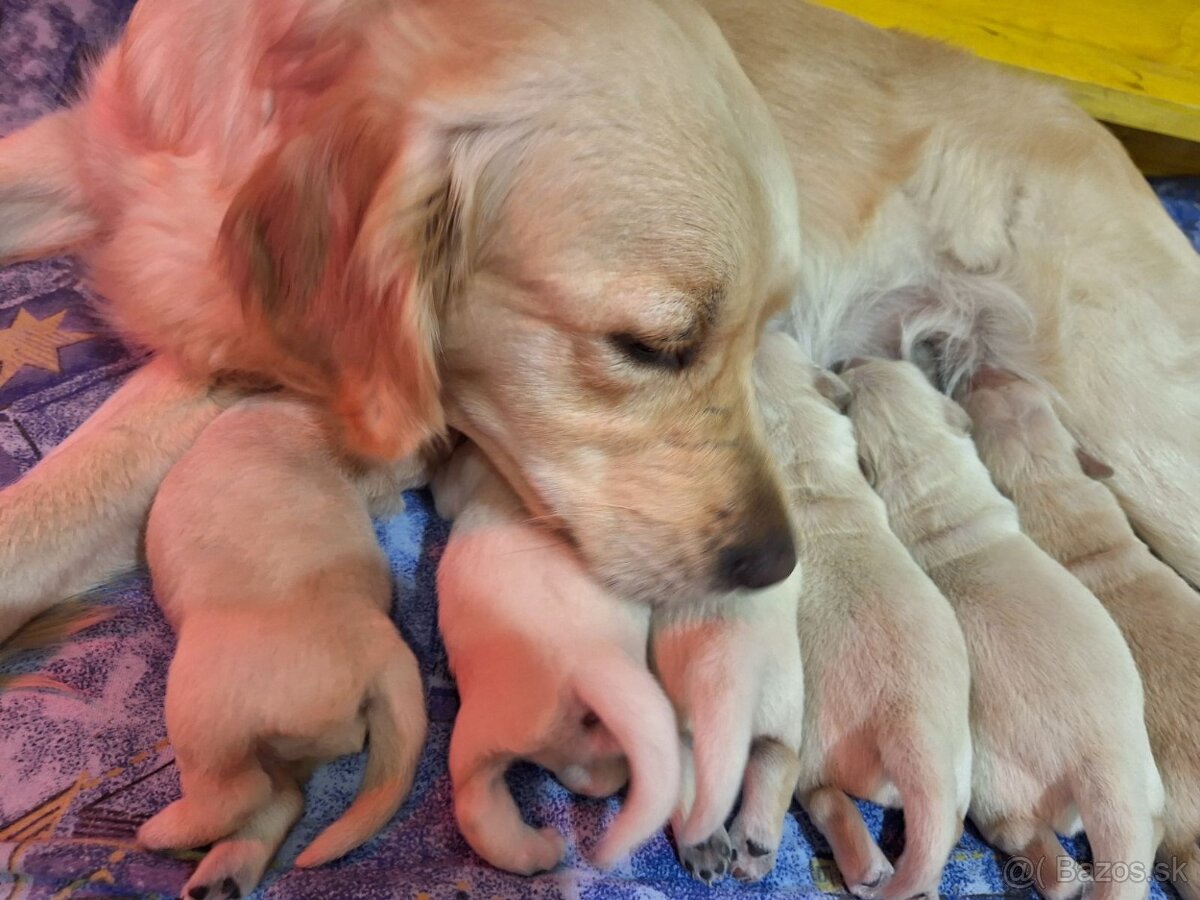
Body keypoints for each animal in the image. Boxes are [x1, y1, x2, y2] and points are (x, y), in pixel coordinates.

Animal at [139, 396, 427, 900]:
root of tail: (387, 662)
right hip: (283, 747)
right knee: (282, 798)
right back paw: (222, 877)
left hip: (207, 712)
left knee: (240, 793)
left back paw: (163, 832)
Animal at [840, 360, 1166, 900]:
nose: (846, 362)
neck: (925, 468)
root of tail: (1099, 764)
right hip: (1145, 775)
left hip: (994, 780)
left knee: (1027, 841)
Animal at [964, 367, 1200, 900]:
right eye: (1001, 385)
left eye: (973, 394)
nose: (984, 367)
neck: (1048, 480)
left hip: (996, 778)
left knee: (1024, 835)